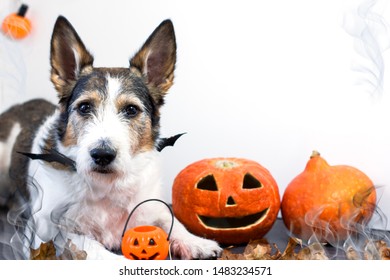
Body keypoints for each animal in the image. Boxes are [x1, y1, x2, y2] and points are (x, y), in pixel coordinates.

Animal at [0, 16, 221, 260]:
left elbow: (168, 217)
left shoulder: (149, 204)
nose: (102, 155)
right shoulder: (43, 231)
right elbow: (86, 245)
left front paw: (195, 242)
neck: (108, 185)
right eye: (85, 107)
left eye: (131, 110)